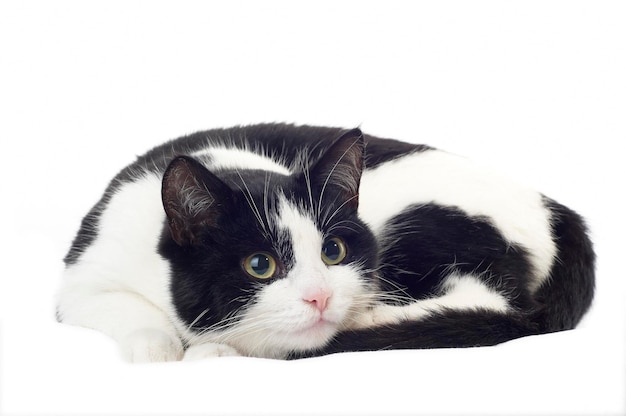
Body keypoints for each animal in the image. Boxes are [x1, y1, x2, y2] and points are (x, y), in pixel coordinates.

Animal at [54, 122, 596, 360]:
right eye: (260, 265)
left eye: (332, 252)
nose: (320, 297)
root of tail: (558, 211)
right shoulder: (81, 278)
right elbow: (121, 307)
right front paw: (159, 346)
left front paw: (214, 350)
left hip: (424, 220)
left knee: (491, 298)